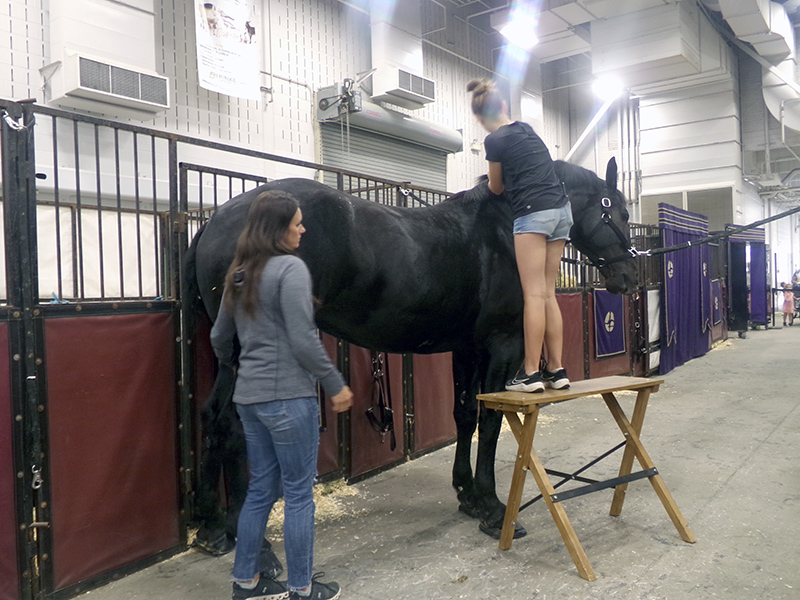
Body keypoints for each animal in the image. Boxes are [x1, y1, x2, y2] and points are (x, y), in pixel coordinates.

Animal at [183, 157, 636, 552]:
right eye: (621, 214)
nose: (627, 278)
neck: (503, 232)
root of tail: (216, 221)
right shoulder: (501, 345)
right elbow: (490, 421)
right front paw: (492, 509)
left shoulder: (466, 348)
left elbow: (464, 415)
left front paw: (467, 495)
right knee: (232, 424)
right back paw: (238, 532)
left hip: (229, 356)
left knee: (212, 417)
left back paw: (211, 527)